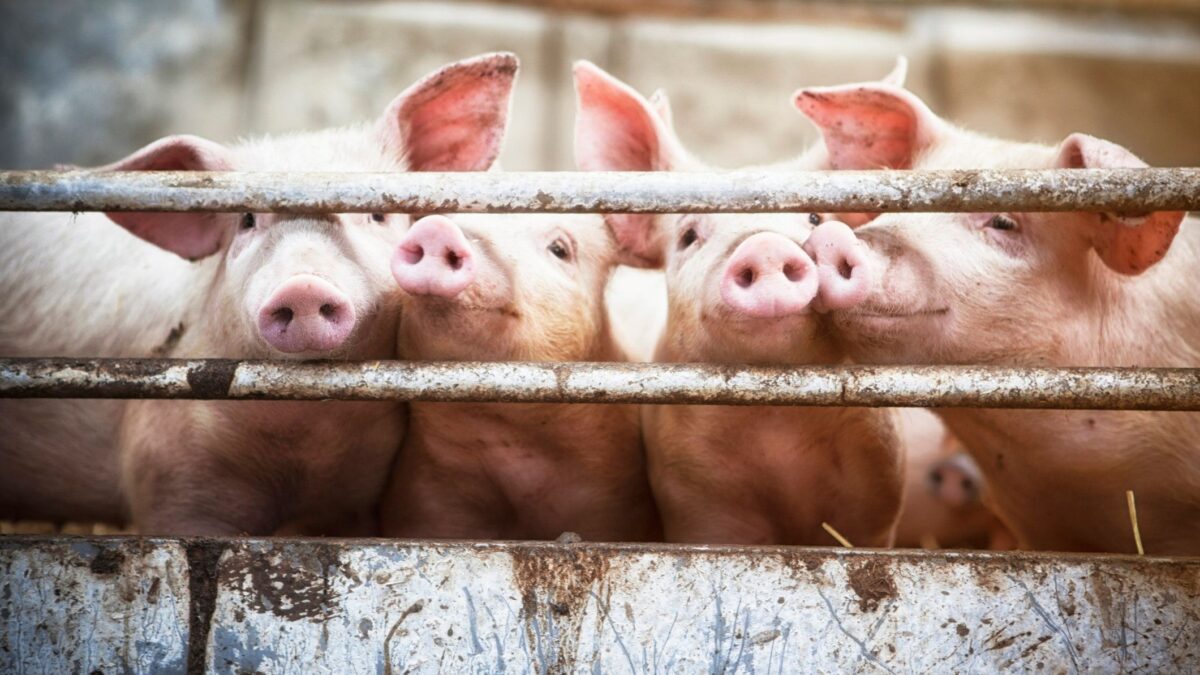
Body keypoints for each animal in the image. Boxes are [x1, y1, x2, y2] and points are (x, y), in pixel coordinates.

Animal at [572, 61, 904, 546]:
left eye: (815, 217)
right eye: (689, 235)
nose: (764, 246)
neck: (775, 427)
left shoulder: (877, 495)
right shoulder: (696, 499)